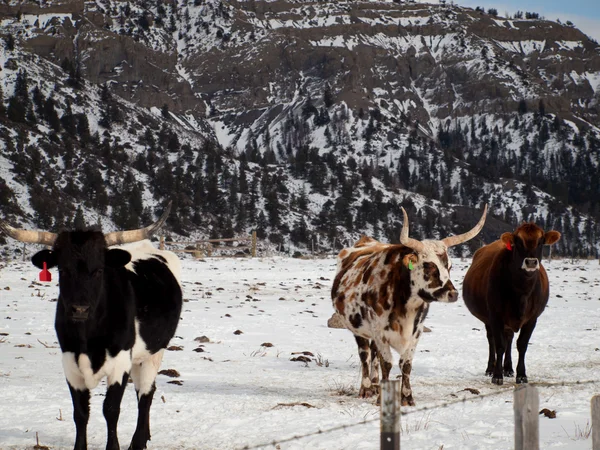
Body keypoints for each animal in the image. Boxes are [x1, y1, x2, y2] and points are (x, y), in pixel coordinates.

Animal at [0, 205, 183, 450]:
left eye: (98, 271)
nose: (79, 309)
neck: (88, 338)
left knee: (145, 394)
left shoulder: (120, 363)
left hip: (154, 352)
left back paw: (138, 441)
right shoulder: (70, 363)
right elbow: (80, 413)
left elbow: (111, 410)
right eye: (63, 270)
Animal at [332, 206, 488, 406]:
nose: (452, 294)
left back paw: (374, 385)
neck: (404, 304)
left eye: (450, 266)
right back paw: (366, 388)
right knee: (365, 355)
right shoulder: (379, 331)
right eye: (428, 265)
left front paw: (407, 397)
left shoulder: (416, 331)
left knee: (373, 355)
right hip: (358, 328)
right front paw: (383, 397)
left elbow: (405, 364)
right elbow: (387, 363)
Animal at [462, 223, 560, 384]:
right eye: (518, 242)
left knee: (509, 338)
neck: (521, 292)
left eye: (541, 241)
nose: (531, 262)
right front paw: (497, 375)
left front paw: (521, 374)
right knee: (492, 340)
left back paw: (508, 368)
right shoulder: (495, 316)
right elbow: (499, 345)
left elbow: (522, 344)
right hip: (489, 319)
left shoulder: (532, 319)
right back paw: (491, 368)